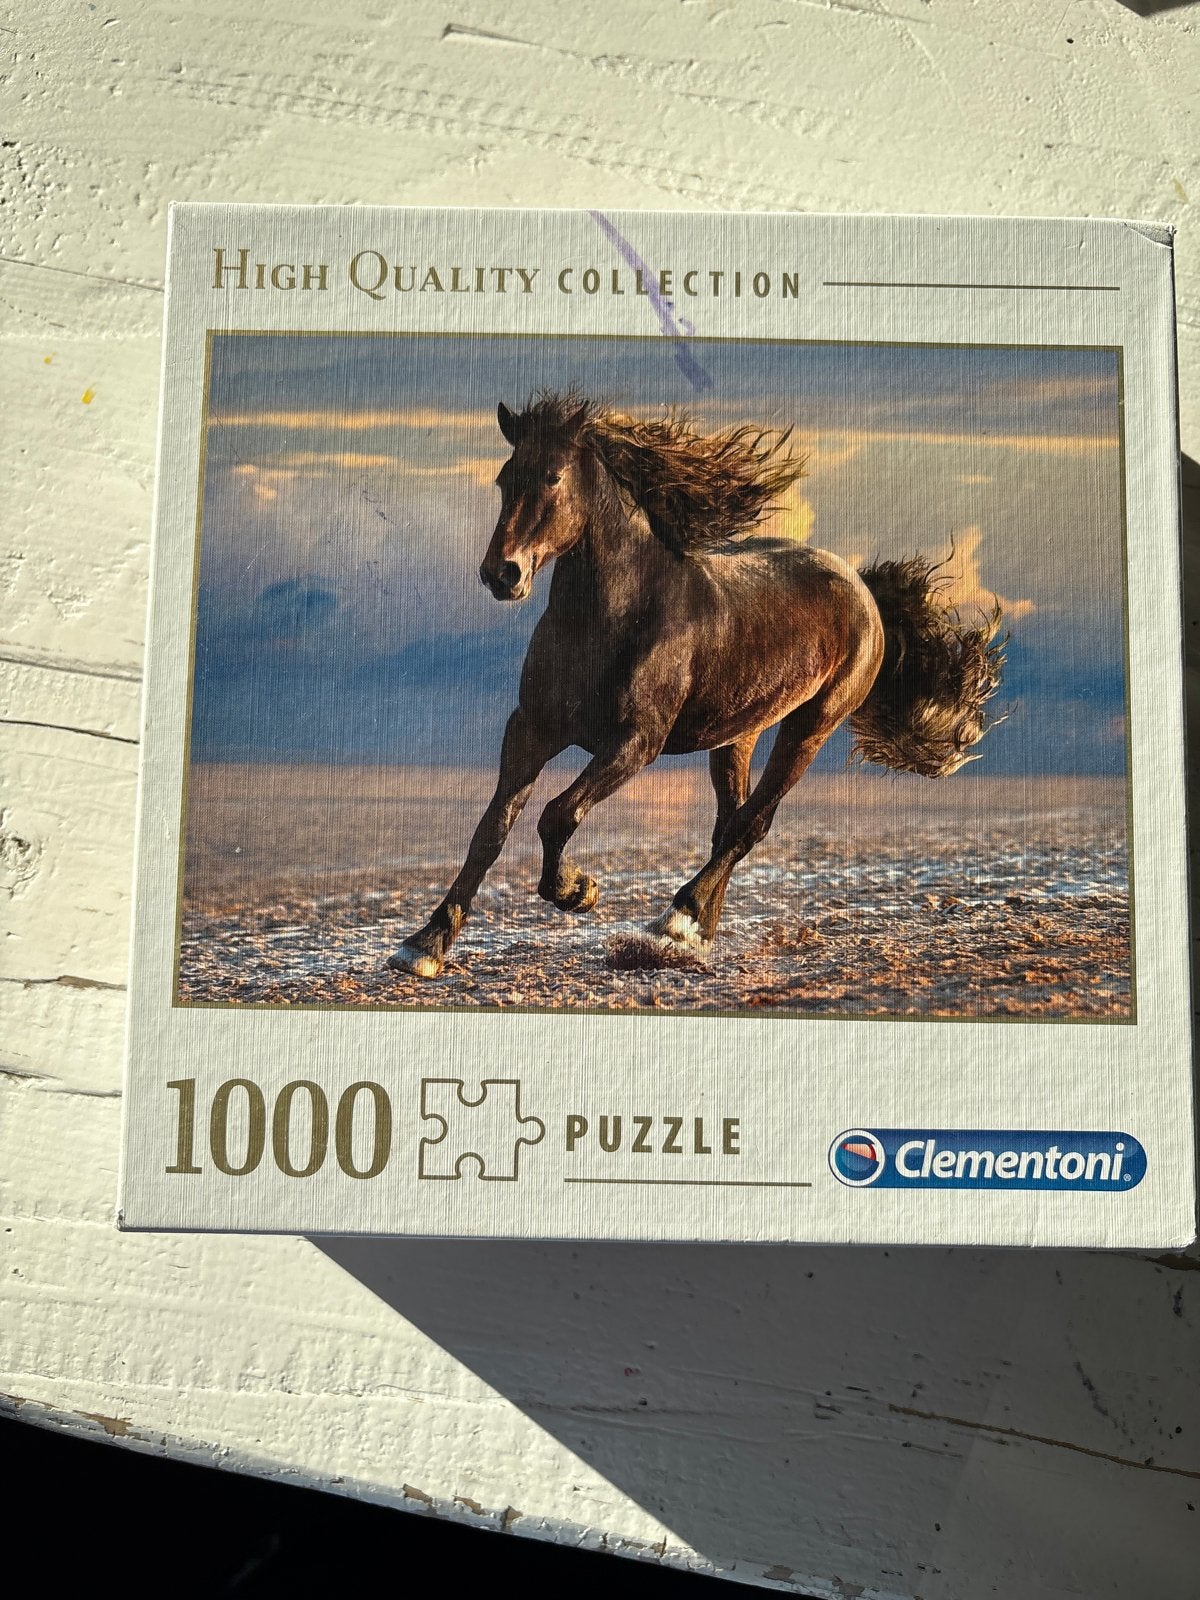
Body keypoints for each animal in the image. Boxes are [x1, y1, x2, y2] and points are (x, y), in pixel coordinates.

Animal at [388, 391, 1004, 980]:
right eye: (505, 478)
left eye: (553, 477)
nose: (502, 574)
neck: (612, 619)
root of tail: (862, 587)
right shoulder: (532, 730)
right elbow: (490, 832)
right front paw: (423, 945)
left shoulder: (636, 743)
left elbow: (557, 813)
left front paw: (578, 891)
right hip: (738, 733)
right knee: (728, 823)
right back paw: (696, 933)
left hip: (811, 725)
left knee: (751, 824)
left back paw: (676, 920)